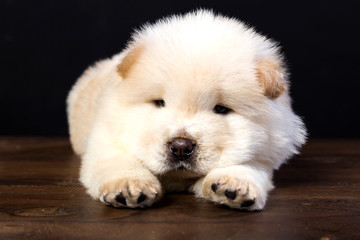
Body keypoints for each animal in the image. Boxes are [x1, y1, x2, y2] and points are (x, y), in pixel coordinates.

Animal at [67, 10, 306, 211]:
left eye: (221, 109)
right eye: (159, 103)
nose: (181, 146)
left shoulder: (268, 149)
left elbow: (248, 162)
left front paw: (235, 185)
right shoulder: (106, 136)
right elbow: (120, 160)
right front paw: (129, 187)